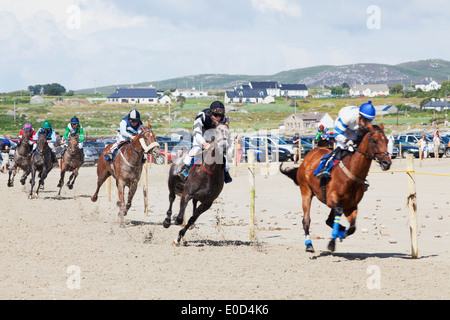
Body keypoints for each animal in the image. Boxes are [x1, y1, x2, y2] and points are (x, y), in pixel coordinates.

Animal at [280, 122, 392, 252]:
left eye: (387, 141)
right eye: (374, 141)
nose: (387, 163)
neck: (351, 174)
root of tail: (309, 155)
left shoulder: (351, 205)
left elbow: (352, 228)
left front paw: (341, 233)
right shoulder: (331, 200)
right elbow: (338, 215)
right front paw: (332, 242)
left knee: (329, 220)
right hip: (306, 191)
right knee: (306, 220)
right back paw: (309, 244)